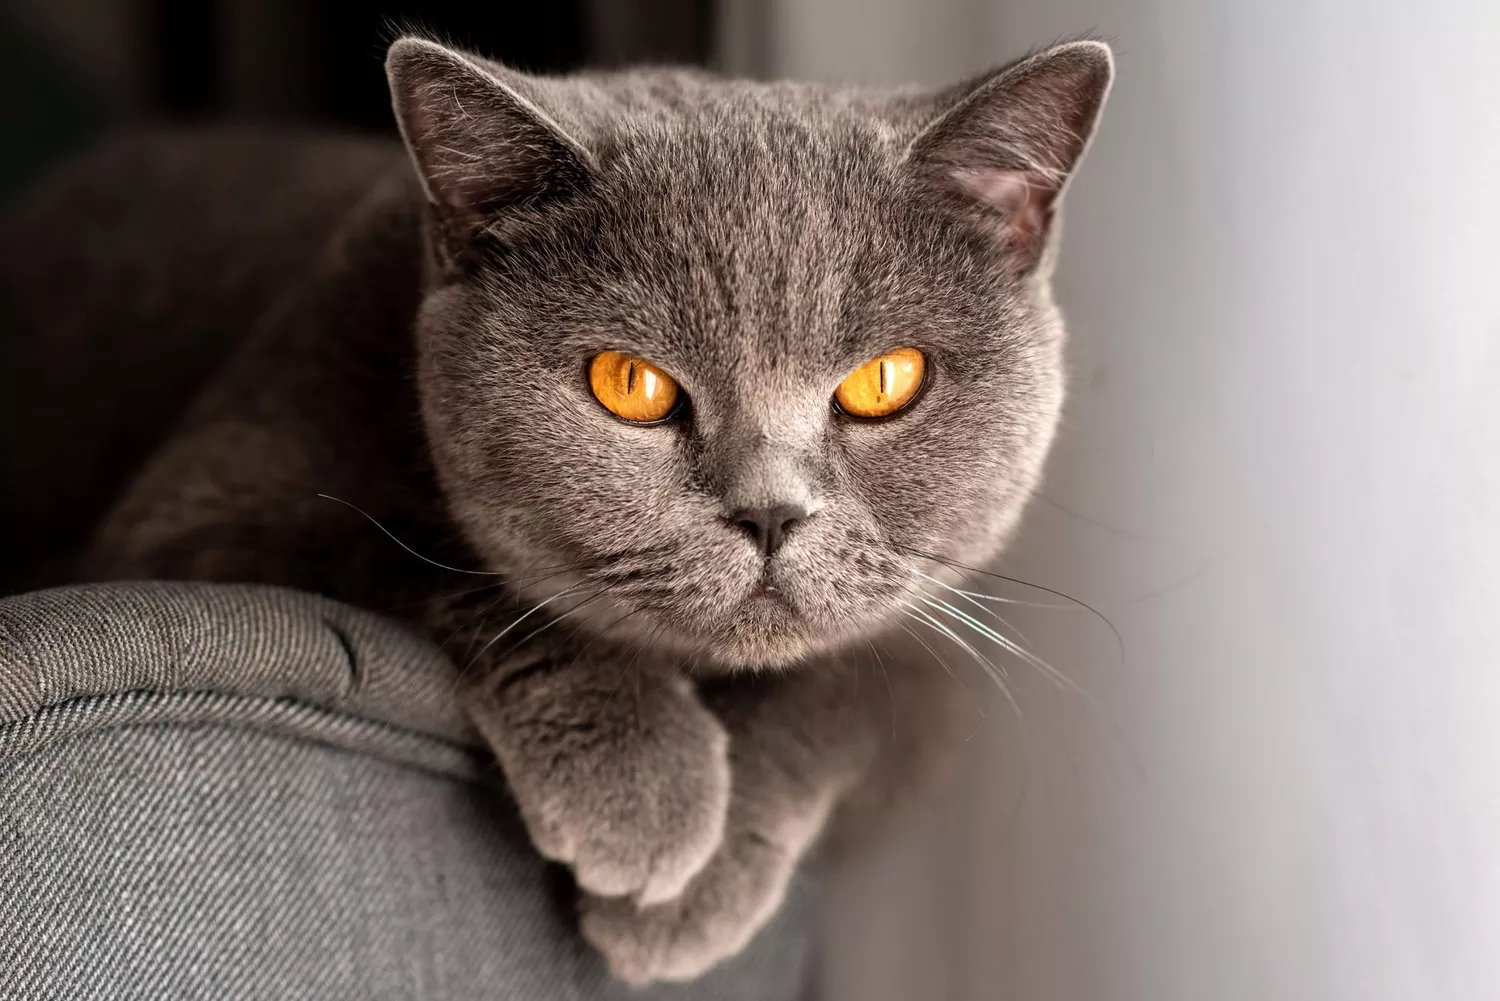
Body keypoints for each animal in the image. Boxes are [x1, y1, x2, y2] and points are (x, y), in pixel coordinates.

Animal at [8, 35, 1116, 984]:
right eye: (630, 384)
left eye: (887, 379)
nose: (769, 513)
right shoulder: (193, 509)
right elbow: (441, 565)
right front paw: (648, 789)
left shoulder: (943, 657)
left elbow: (837, 679)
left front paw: (690, 888)